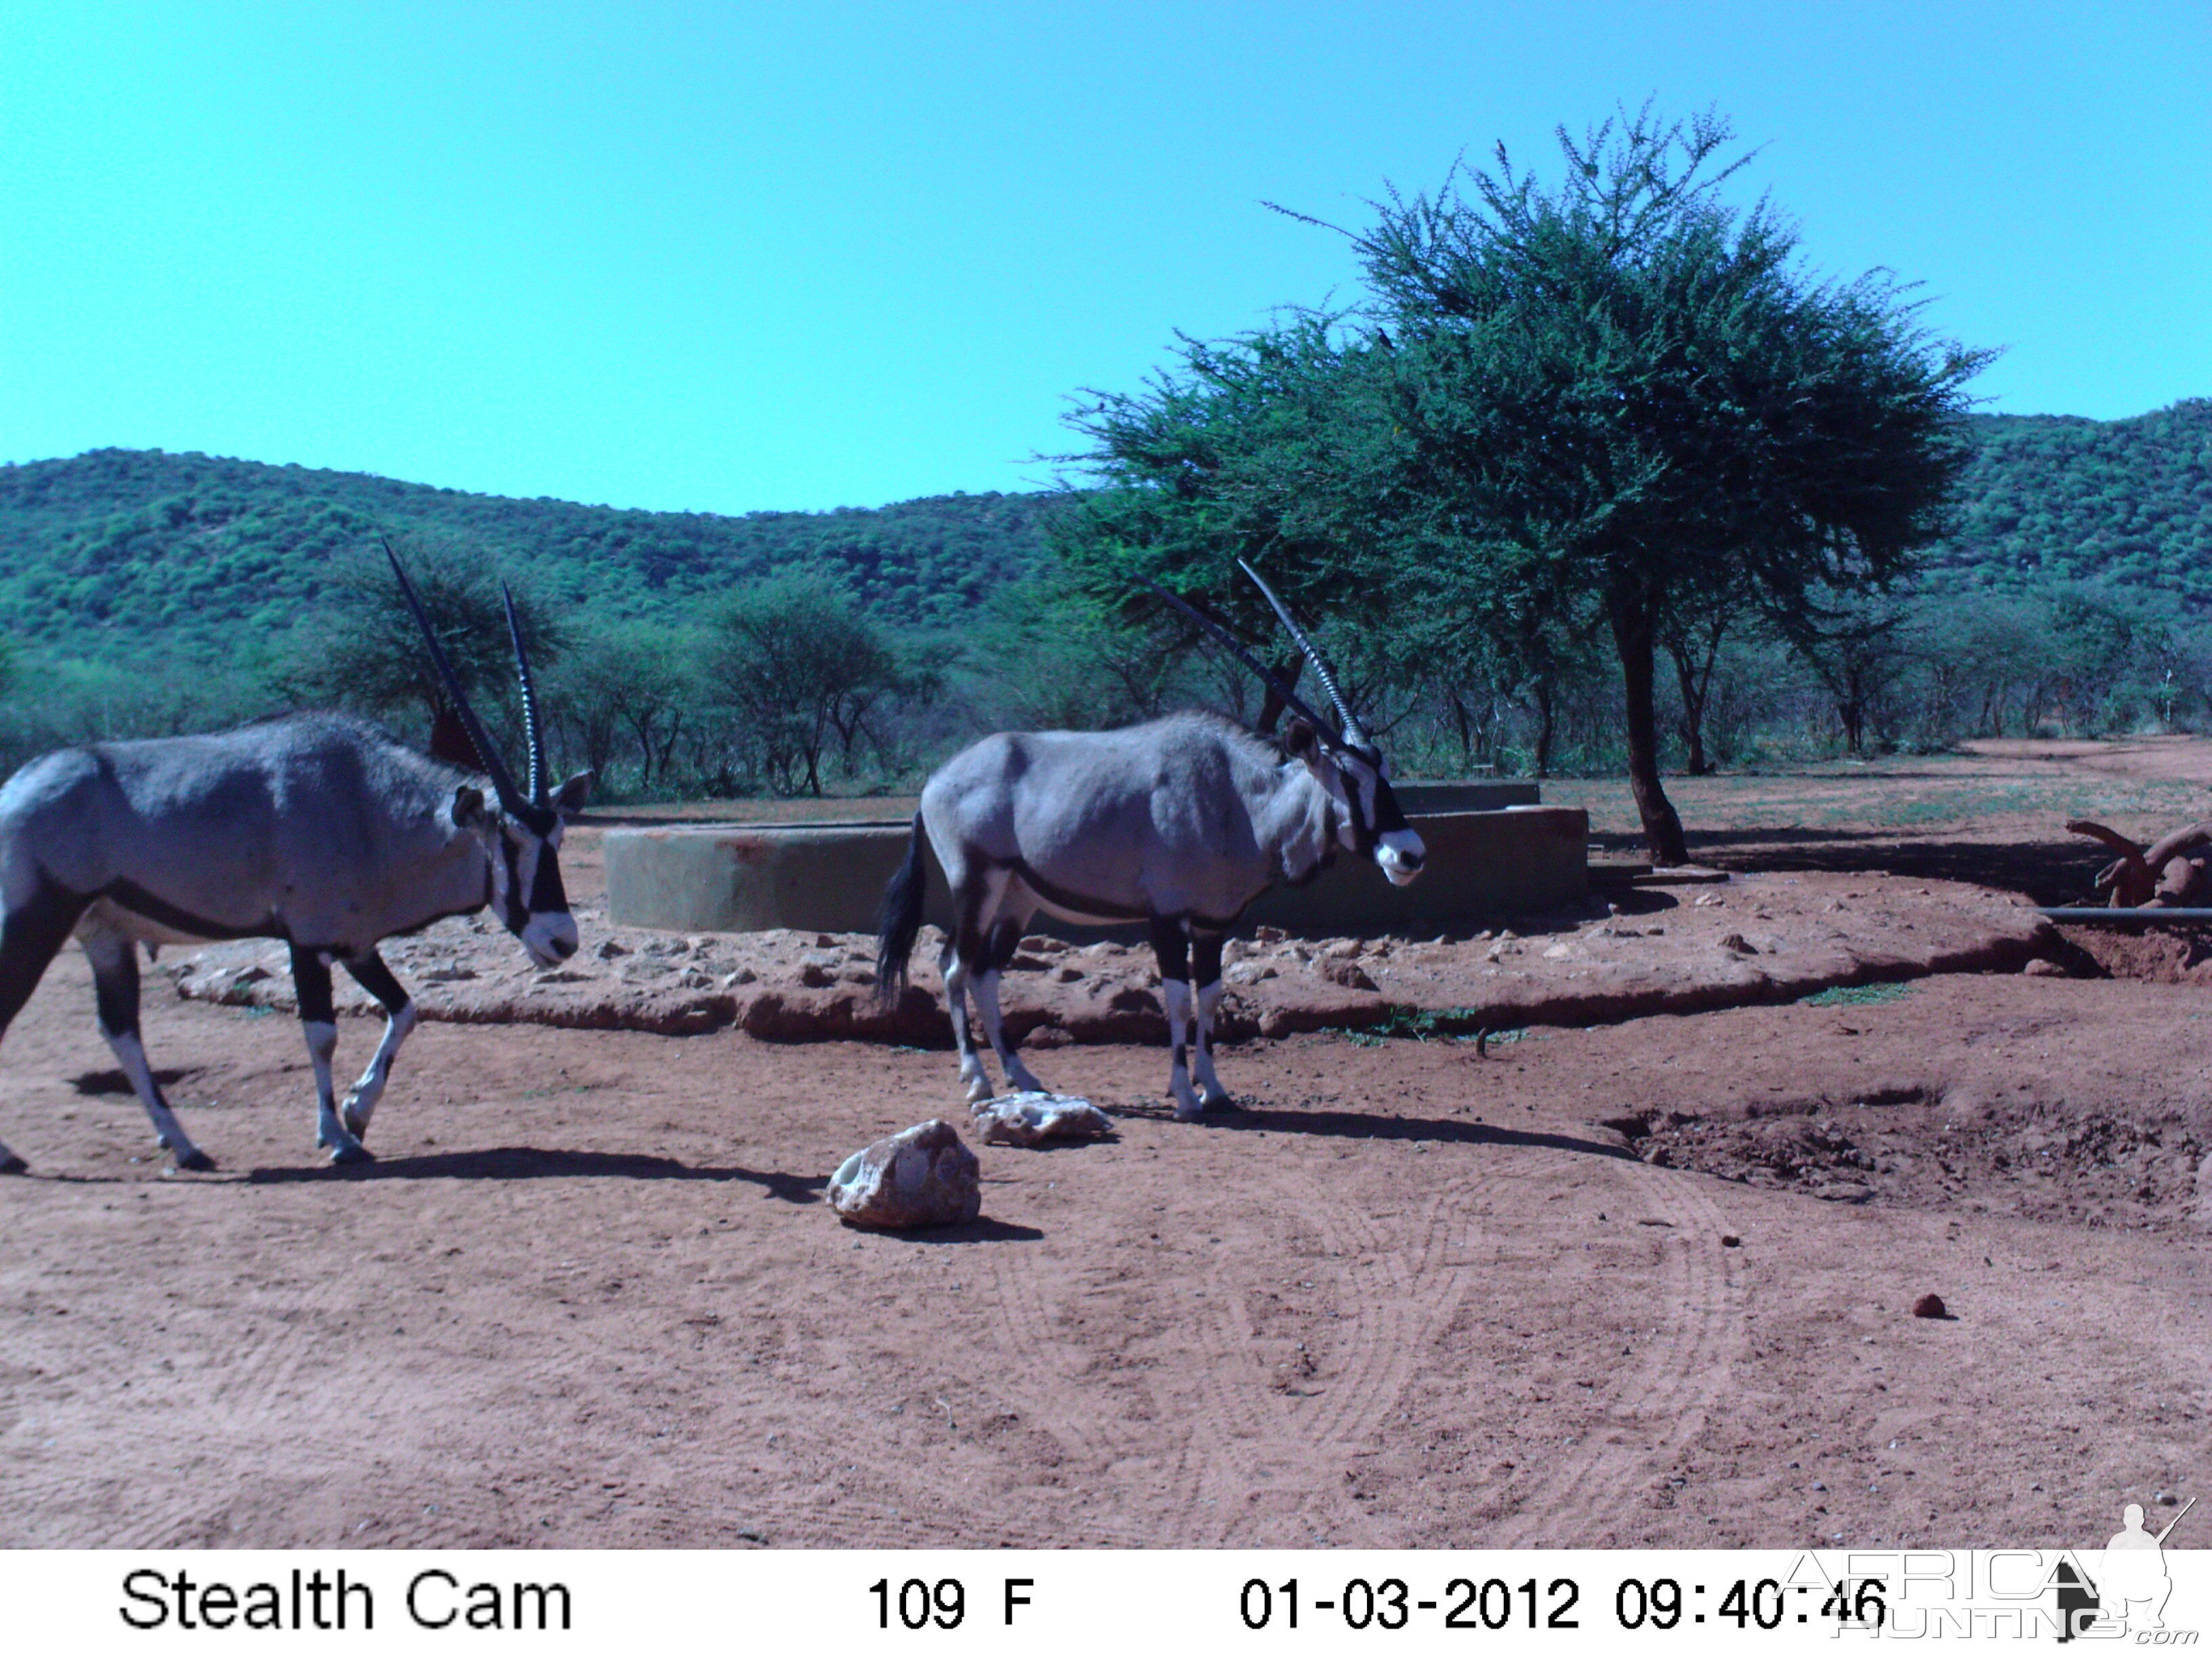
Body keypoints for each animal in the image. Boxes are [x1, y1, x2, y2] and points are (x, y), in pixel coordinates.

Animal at [0, 541, 592, 1168]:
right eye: (509, 840)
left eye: (557, 839)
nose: (561, 941)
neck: (365, 799)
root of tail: (16, 787)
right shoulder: (308, 941)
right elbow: (322, 1034)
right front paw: (338, 1137)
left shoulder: (355, 943)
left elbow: (406, 1010)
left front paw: (358, 1112)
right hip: (37, 921)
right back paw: (16, 1153)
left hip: (106, 936)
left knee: (121, 1030)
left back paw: (185, 1146)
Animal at [872, 566, 1425, 1124]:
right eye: (1349, 779)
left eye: (1384, 771)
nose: (1410, 854)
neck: (1238, 798)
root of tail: (936, 780)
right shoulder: (1167, 916)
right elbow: (1177, 999)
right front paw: (1184, 1097)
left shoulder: (1211, 924)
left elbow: (1211, 996)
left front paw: (1215, 1090)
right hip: (976, 884)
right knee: (954, 968)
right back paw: (978, 1082)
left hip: (1016, 899)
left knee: (985, 974)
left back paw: (1024, 1079)